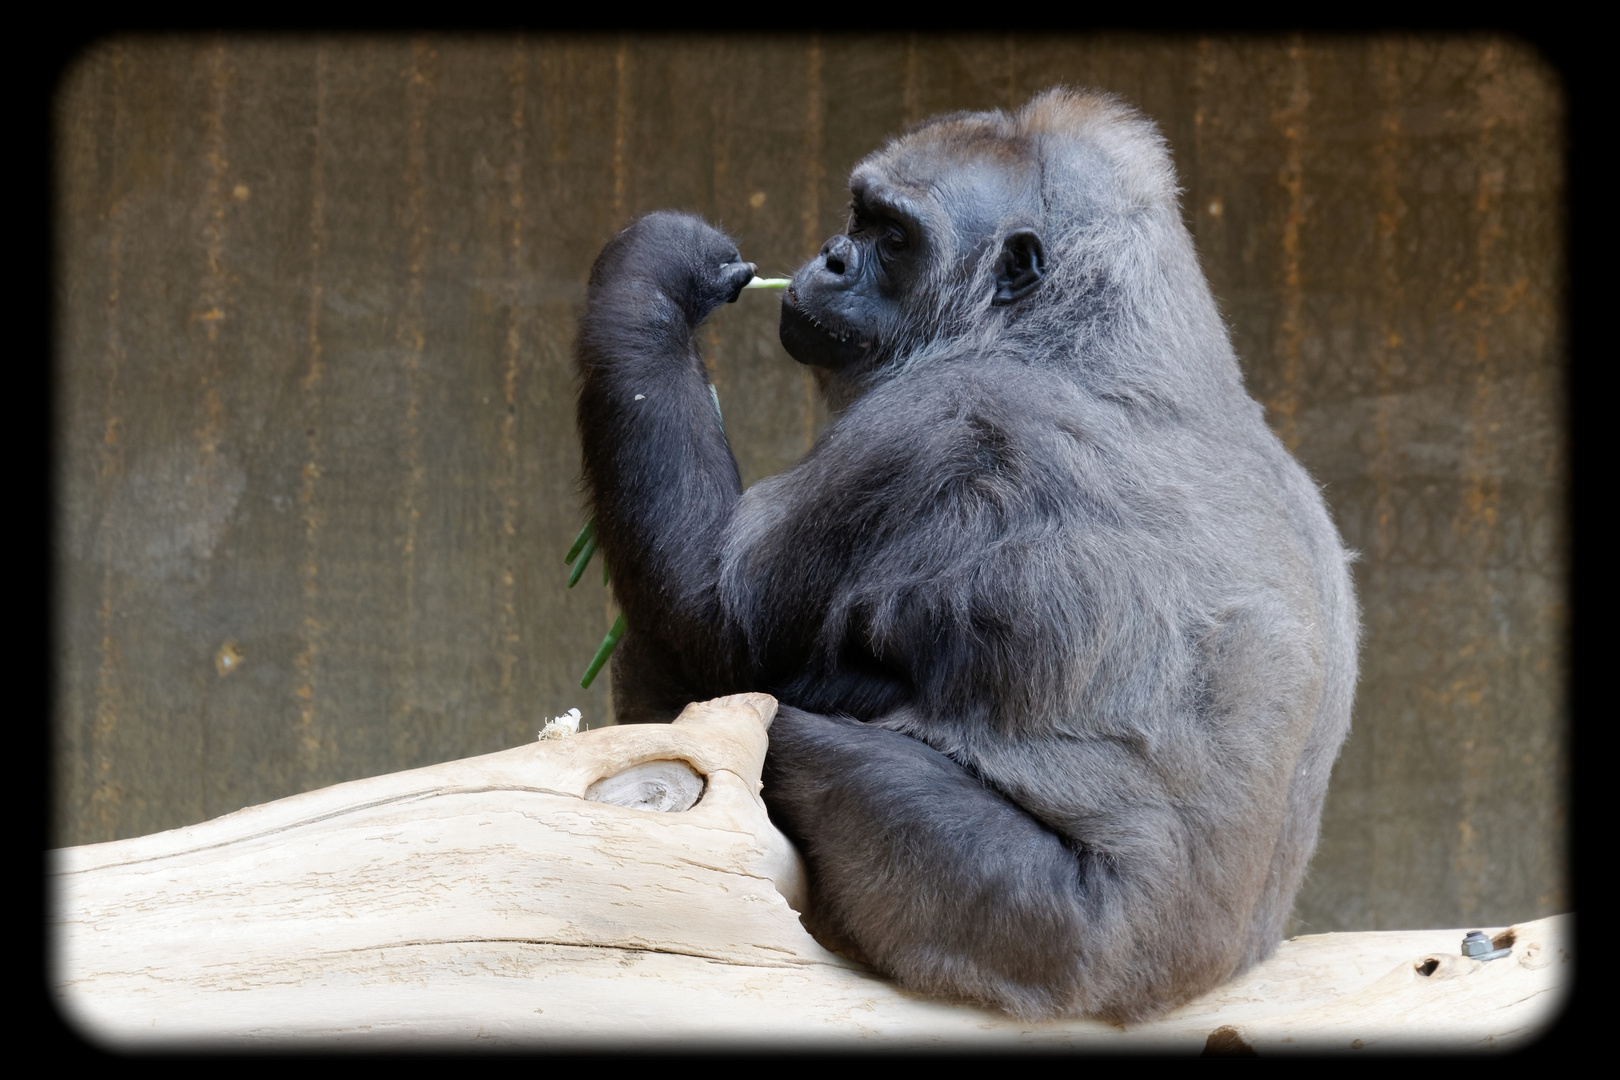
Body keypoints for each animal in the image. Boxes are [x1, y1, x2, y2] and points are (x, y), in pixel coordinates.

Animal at [576, 90, 1360, 1023]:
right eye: (859, 216)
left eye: (893, 237)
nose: (832, 258)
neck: (1089, 323)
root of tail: (1190, 985)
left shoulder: (933, 421)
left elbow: (708, 622)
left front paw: (658, 271)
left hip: (1037, 946)